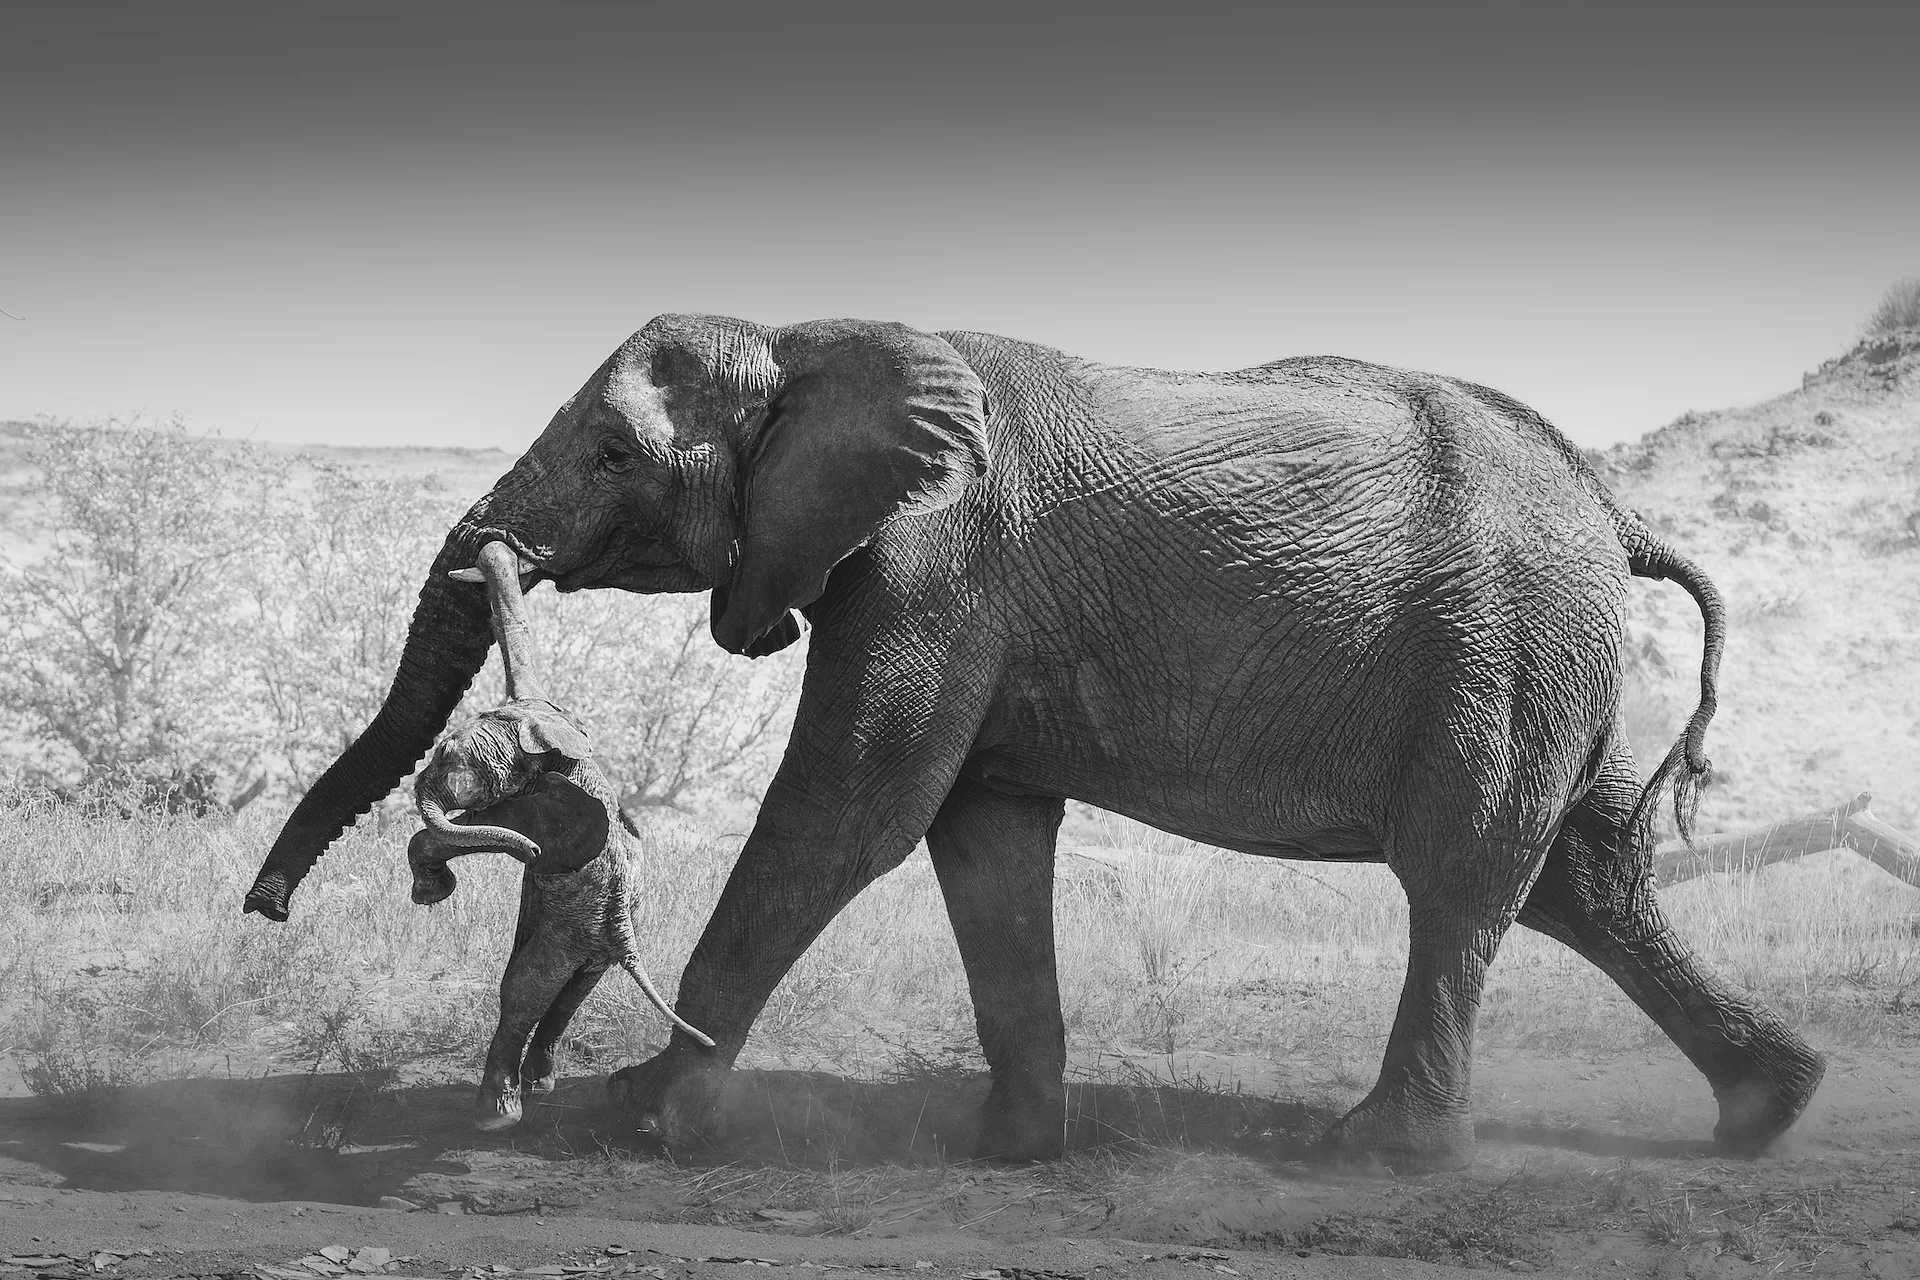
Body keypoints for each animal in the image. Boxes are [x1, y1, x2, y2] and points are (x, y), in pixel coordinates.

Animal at [406, 540, 712, 1129]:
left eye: (449, 757)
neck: (535, 738)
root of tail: (622, 933)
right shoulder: (532, 709)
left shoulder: (544, 805)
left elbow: (481, 832)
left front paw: (437, 887)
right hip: (591, 939)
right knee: (572, 991)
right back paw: (539, 1085)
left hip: (573, 929)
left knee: (525, 988)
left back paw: (497, 1112)